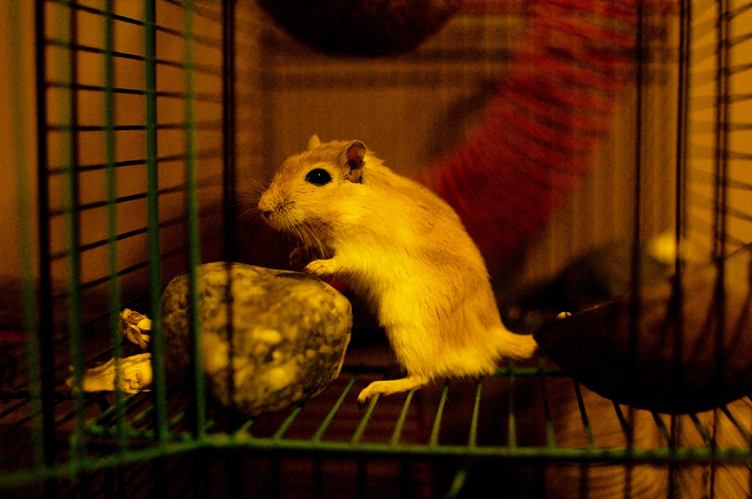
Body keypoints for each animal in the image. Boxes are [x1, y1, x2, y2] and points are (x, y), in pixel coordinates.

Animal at [258, 135, 537, 403]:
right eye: (287, 162)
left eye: (318, 176)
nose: (263, 210)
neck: (351, 205)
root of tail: (495, 335)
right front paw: (296, 257)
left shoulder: (360, 250)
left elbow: (339, 261)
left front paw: (315, 267)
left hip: (410, 331)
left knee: (422, 377)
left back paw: (372, 390)